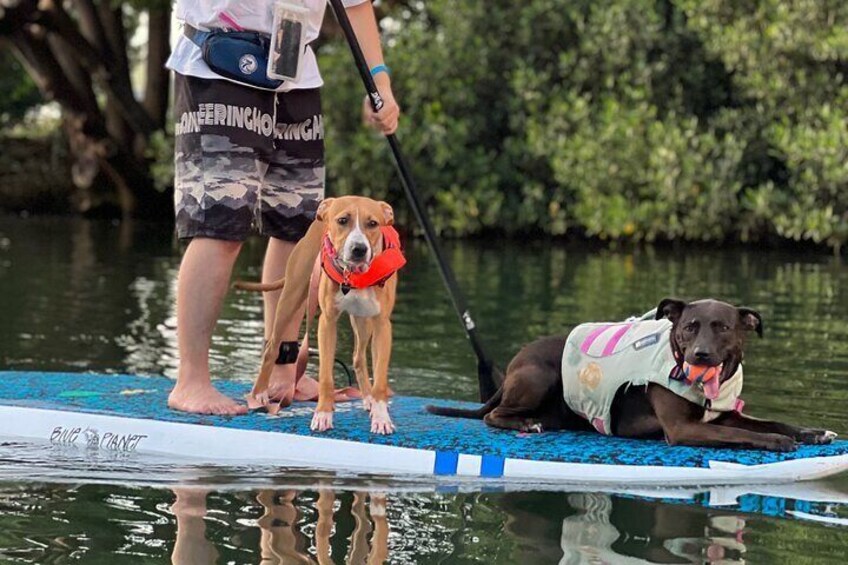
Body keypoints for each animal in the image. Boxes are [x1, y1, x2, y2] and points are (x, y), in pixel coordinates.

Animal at [428, 298, 840, 452]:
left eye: (723, 328)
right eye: (689, 328)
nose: (700, 354)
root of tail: (516, 361)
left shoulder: (725, 413)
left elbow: (768, 421)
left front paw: (811, 432)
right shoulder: (684, 429)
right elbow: (741, 434)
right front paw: (777, 441)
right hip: (537, 378)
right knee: (493, 416)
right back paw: (524, 423)